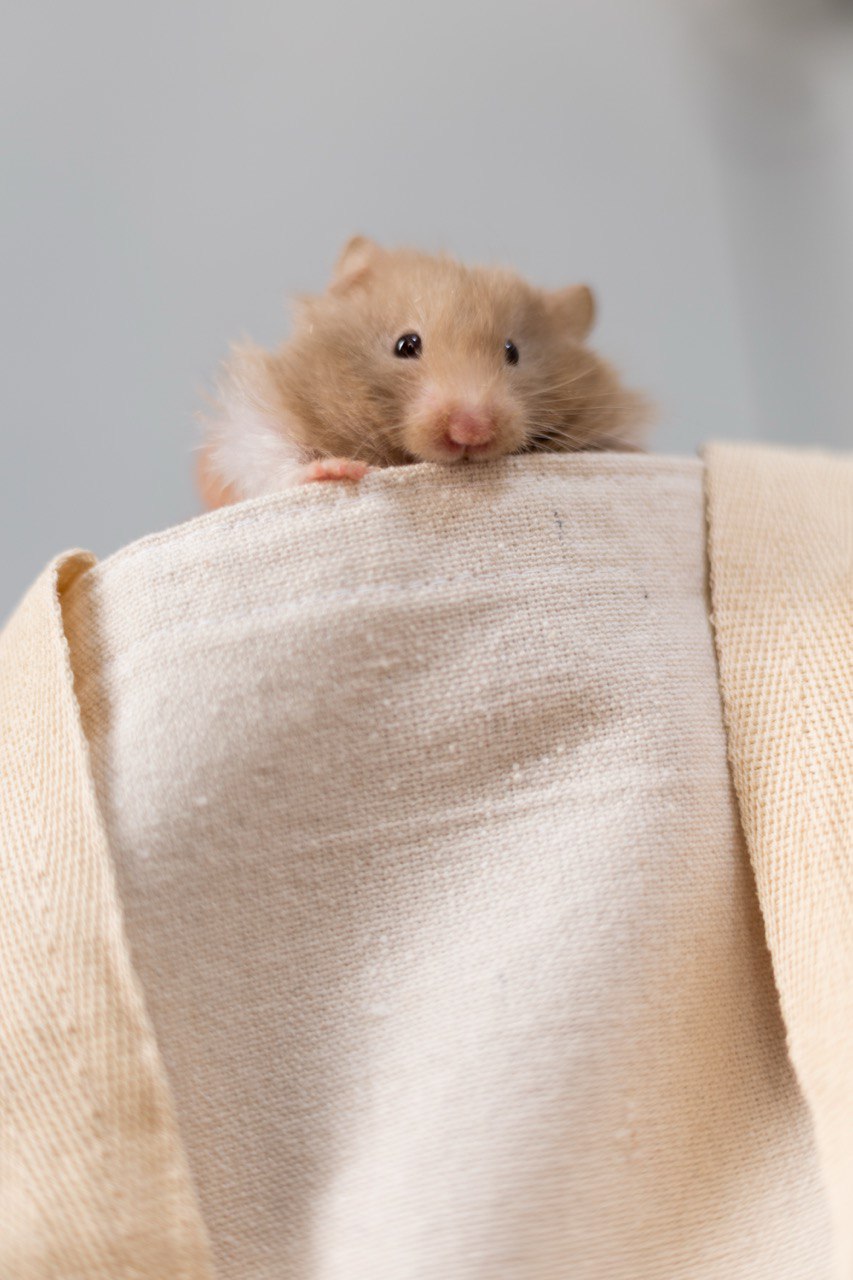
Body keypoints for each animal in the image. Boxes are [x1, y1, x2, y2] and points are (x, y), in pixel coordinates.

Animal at [198, 237, 649, 507]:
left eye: (513, 352)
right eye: (406, 345)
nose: (472, 430)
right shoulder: (253, 425)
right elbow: (270, 458)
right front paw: (342, 471)